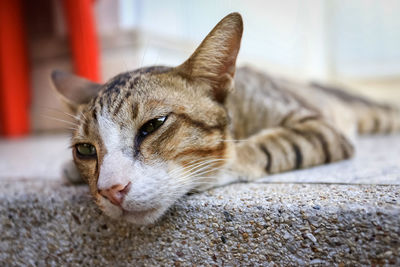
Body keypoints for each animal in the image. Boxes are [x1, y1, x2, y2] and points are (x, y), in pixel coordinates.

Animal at [51, 13, 398, 226]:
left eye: (153, 125)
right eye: (85, 150)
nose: (110, 189)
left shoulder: (320, 126)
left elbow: (261, 147)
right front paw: (71, 171)